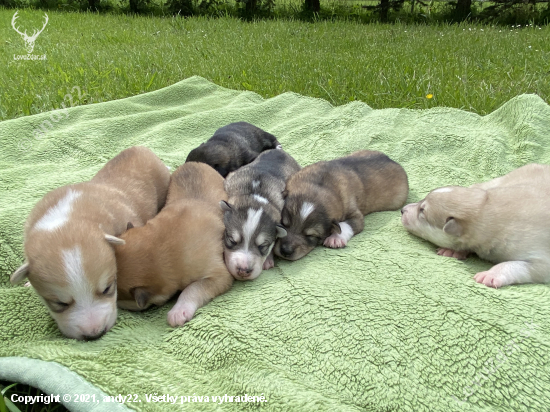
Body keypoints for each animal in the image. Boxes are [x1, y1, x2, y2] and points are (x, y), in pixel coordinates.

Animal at [276, 150, 410, 260]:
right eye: (284, 224)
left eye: (310, 235)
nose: (285, 251)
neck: (319, 185)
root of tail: (391, 159)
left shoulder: (356, 215)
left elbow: (346, 225)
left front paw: (335, 239)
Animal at [402, 163, 550, 288]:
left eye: (422, 210)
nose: (403, 210)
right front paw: (455, 250)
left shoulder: (541, 259)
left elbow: (517, 265)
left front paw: (491, 274)